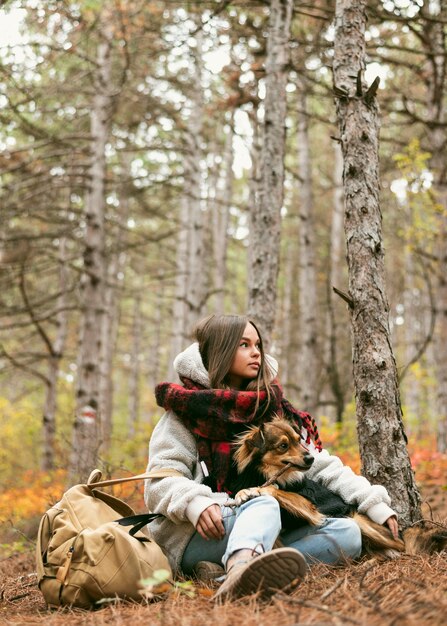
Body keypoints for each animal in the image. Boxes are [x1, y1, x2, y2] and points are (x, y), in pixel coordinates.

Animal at [231, 416, 410, 552]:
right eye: (283, 446)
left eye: (299, 441)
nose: (311, 458)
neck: (271, 475)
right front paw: (242, 492)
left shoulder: (308, 503)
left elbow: (279, 491)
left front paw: (255, 490)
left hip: (358, 520)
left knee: (401, 544)